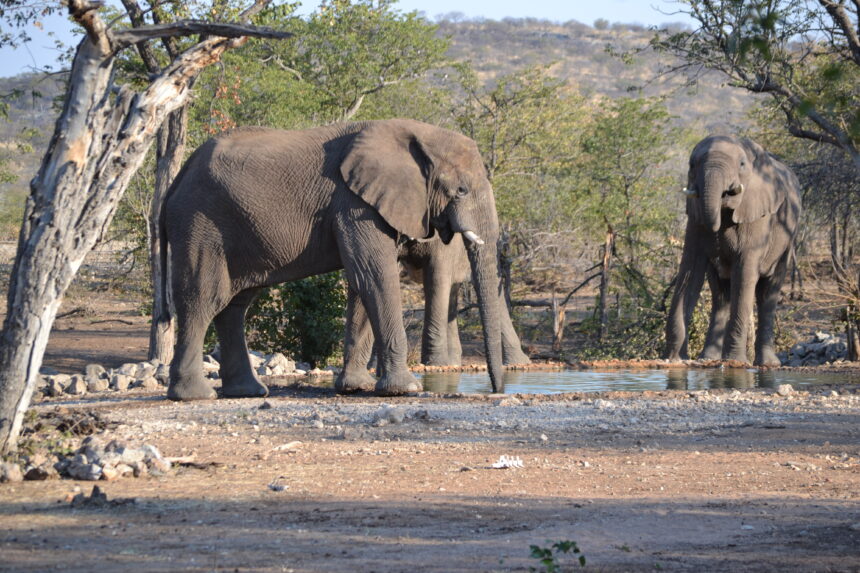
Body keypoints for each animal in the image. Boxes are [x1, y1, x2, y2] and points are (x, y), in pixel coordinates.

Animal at [160, 119, 506, 400]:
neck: (419, 134)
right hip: (200, 223)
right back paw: (196, 396)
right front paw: (405, 389)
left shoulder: (366, 204)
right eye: (460, 190)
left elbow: (363, 281)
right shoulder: (355, 204)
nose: (497, 390)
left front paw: (356, 387)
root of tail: (175, 182)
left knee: (235, 304)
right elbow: (374, 276)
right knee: (204, 298)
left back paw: (248, 392)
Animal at [665, 135, 802, 366]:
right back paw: (707, 358)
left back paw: (767, 364)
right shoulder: (695, 215)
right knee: (721, 294)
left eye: (742, 165)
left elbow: (744, 273)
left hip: (787, 238)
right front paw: (675, 360)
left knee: (768, 293)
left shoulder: (757, 214)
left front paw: (735, 362)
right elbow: (690, 270)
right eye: (692, 165)